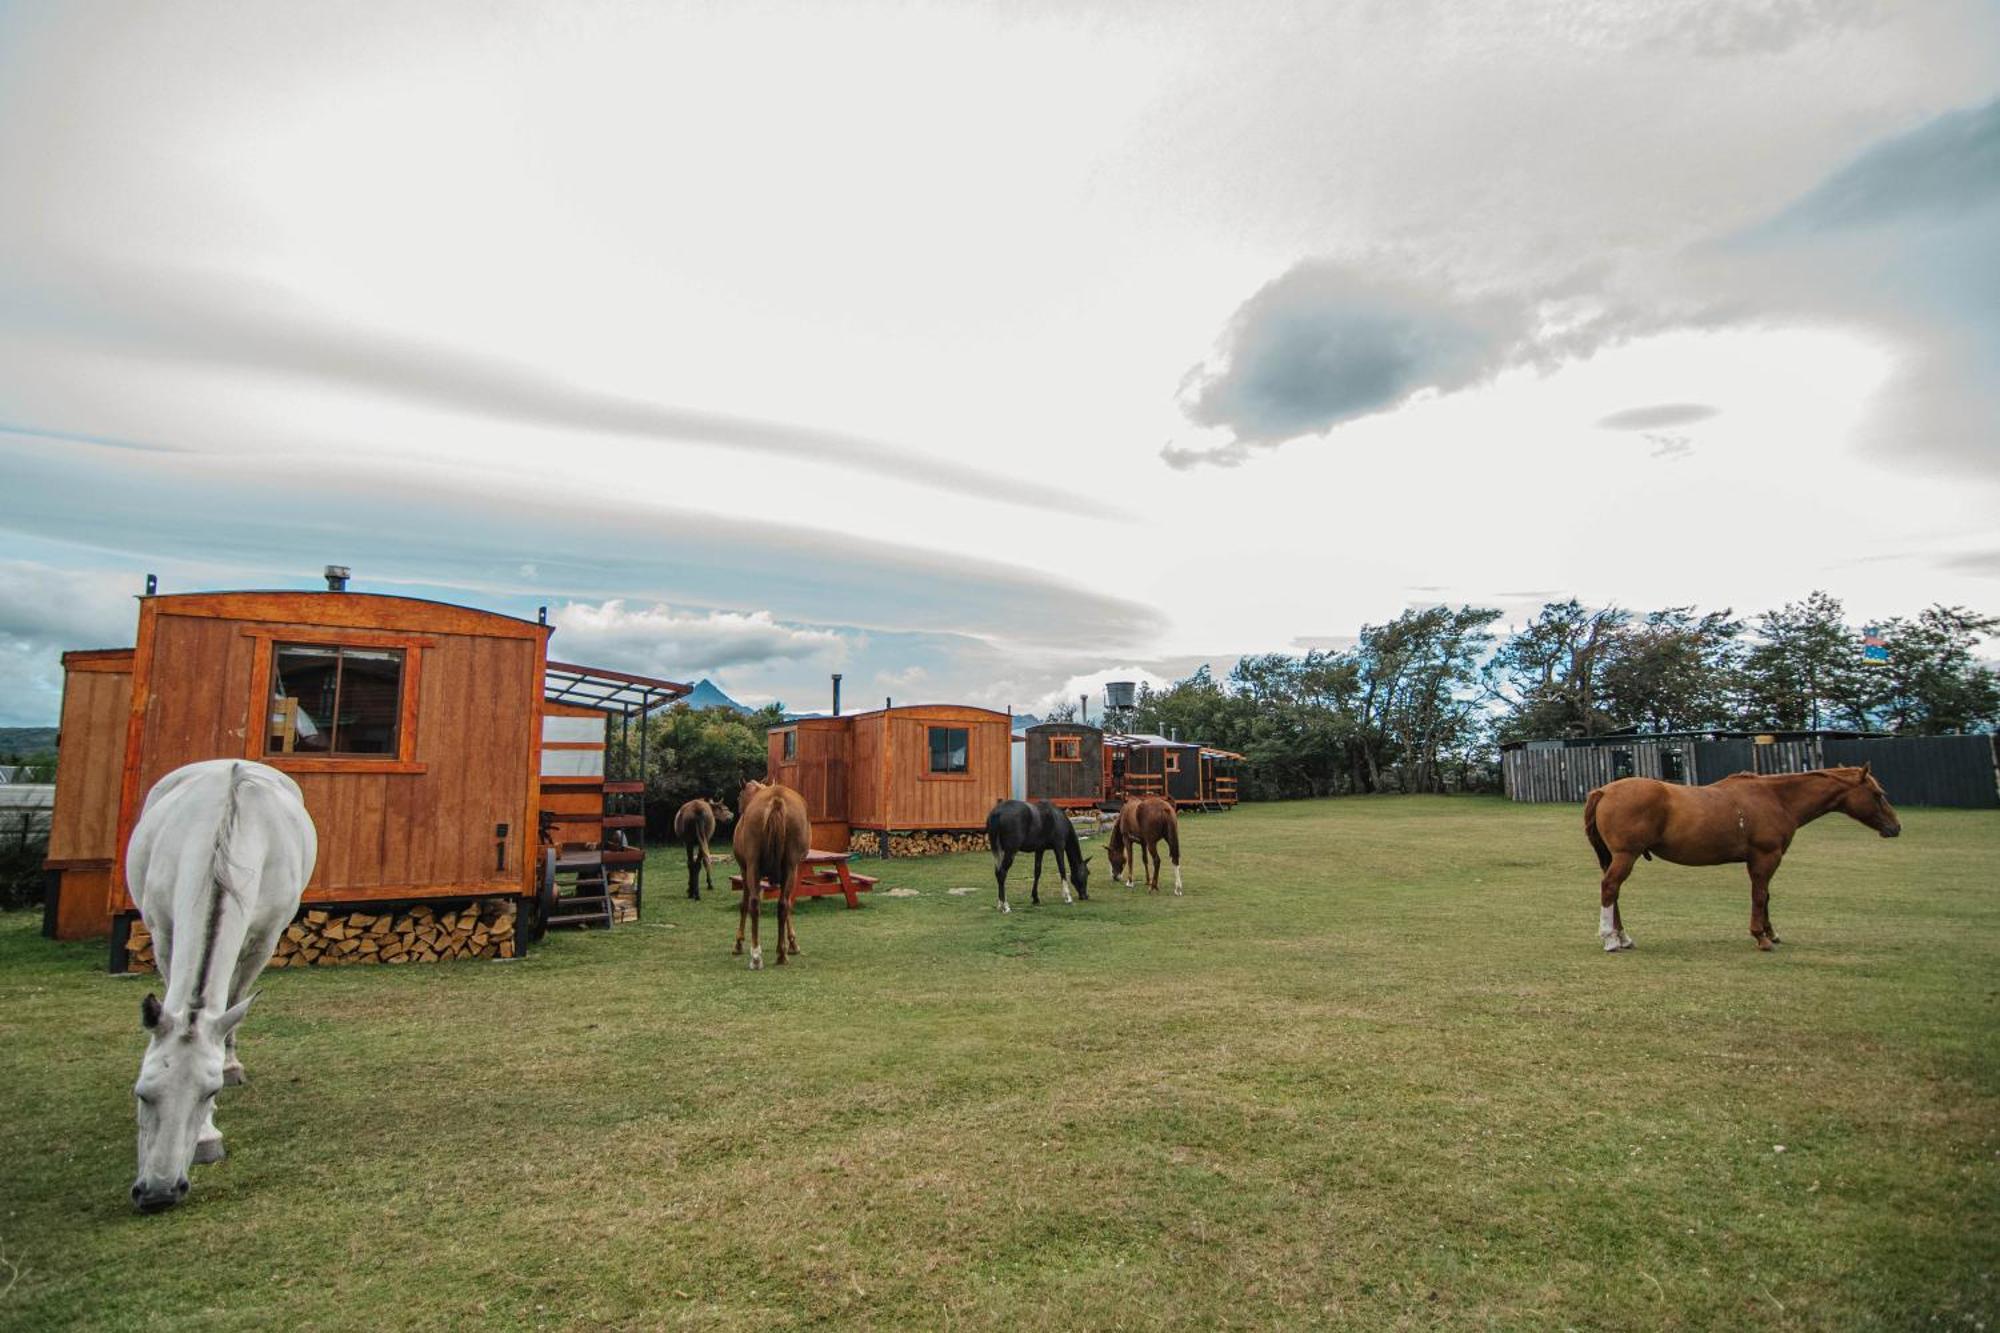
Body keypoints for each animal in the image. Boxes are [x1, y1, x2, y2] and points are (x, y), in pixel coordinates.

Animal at [125, 756, 314, 1200]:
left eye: (207, 1092)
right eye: (142, 1093)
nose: (159, 1192)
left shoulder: (266, 937)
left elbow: (231, 1005)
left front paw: (222, 1080)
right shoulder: (162, 932)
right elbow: (176, 1002)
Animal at [732, 780, 808, 964]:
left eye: (739, 798)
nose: (739, 812)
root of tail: (776, 800)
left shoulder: (744, 870)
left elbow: (743, 905)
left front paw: (738, 942)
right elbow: (787, 906)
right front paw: (792, 943)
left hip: (754, 867)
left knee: (754, 903)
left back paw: (758, 954)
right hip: (790, 868)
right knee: (782, 905)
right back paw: (780, 954)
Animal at [1584, 764, 1896, 948]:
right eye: (1877, 794)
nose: (1895, 827)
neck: (1776, 799)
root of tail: (1604, 790)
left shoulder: (1763, 859)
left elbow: (1765, 895)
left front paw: (1771, 933)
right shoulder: (1766, 857)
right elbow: (1759, 895)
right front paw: (1761, 937)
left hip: (1616, 857)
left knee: (1614, 892)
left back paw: (1623, 936)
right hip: (1626, 855)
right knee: (1610, 888)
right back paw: (1610, 939)